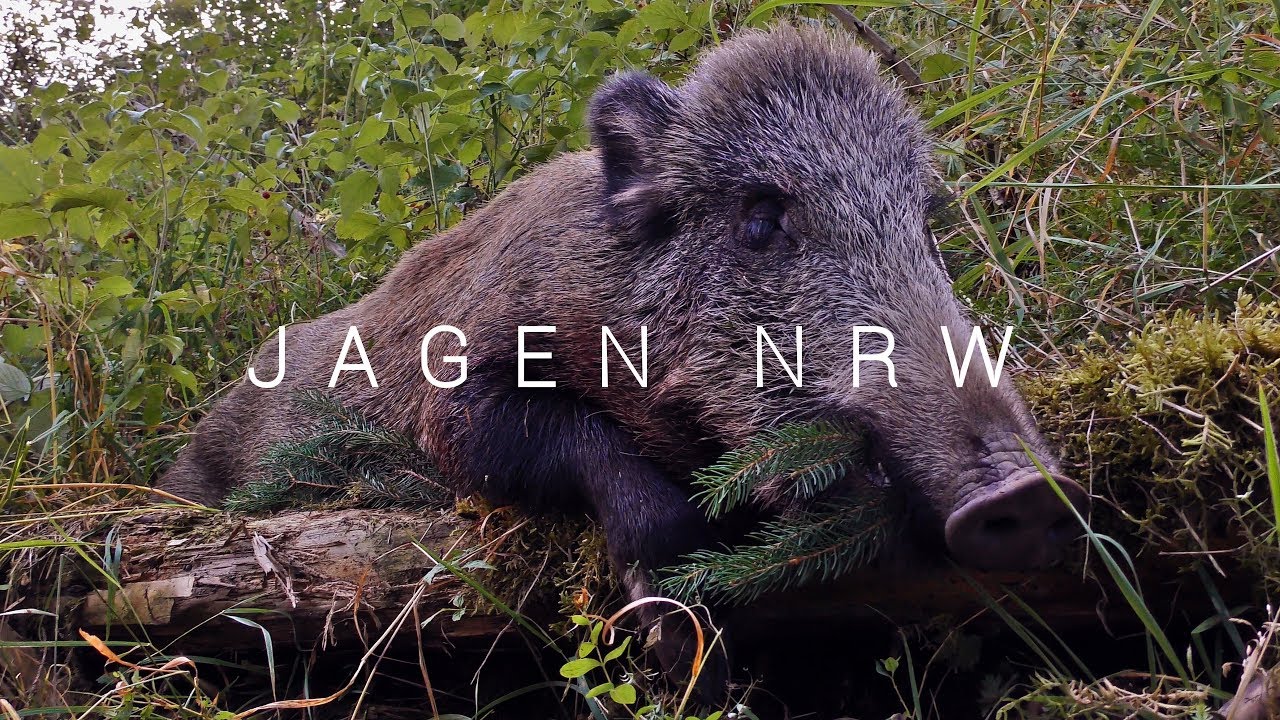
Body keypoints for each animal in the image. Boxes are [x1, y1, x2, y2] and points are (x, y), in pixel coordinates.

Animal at [159, 24, 1088, 695]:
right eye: (761, 219)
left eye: (925, 229)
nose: (1029, 491)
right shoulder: (457, 390)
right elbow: (552, 451)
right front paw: (681, 649)